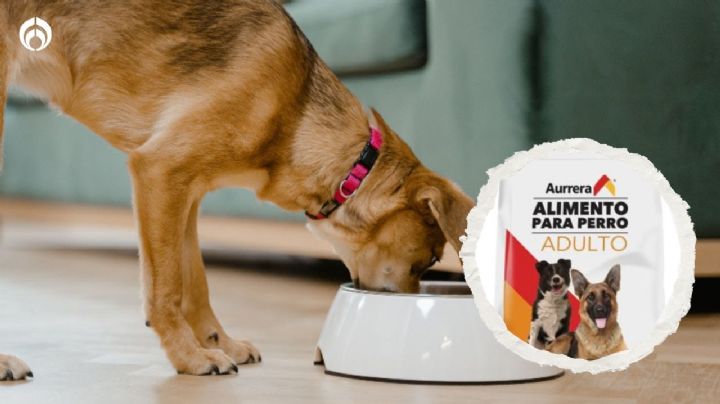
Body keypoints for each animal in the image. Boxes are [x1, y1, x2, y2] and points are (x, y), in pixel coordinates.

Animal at [0, 0, 476, 378]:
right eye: (427, 260)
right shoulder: (159, 170)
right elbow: (166, 288)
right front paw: (190, 358)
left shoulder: (185, 194)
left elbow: (195, 283)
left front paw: (217, 343)